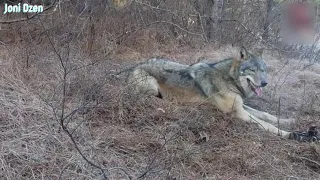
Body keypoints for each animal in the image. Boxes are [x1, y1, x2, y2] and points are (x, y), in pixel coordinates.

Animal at [124, 47, 294, 139]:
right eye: (252, 70)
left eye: (263, 70)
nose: (265, 83)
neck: (229, 79)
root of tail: (133, 67)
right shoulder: (238, 113)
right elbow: (266, 124)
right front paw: (289, 134)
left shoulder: (241, 106)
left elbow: (266, 115)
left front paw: (287, 121)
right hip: (152, 87)